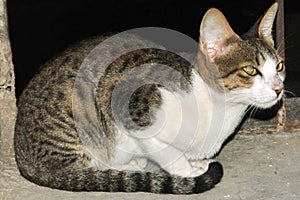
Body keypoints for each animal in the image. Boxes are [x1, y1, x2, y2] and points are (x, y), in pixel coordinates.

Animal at [14, 2, 286, 194]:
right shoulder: (128, 103)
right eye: (250, 70)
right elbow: (168, 152)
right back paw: (130, 167)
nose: (279, 88)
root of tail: (21, 156)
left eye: (280, 66)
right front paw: (187, 171)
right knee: (80, 168)